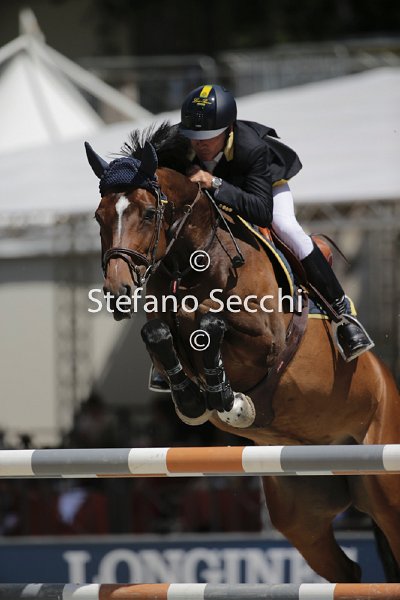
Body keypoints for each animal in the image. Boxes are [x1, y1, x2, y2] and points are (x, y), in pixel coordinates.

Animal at [85, 122, 400, 583]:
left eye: (147, 213)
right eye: (99, 216)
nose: (118, 291)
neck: (194, 259)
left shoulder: (267, 342)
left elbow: (210, 323)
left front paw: (224, 397)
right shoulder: (163, 323)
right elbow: (157, 332)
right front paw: (192, 398)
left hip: (387, 490)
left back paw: (351, 335)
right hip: (301, 510)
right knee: (347, 572)